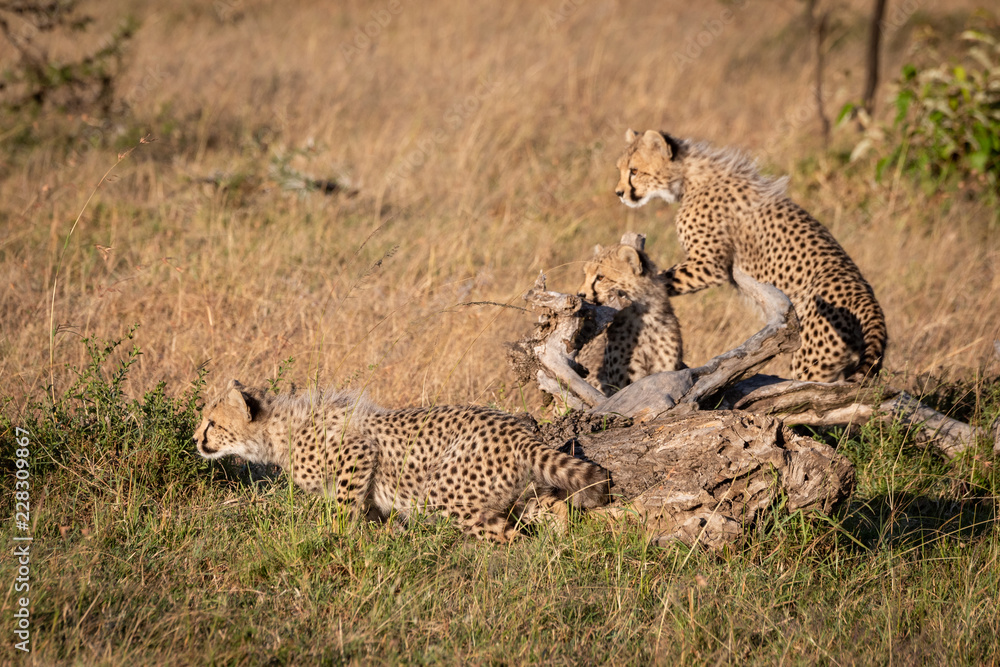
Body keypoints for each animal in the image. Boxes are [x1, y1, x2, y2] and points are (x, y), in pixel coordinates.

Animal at [193, 379, 611, 542]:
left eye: (212, 423)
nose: (195, 439)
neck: (277, 431)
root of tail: (514, 428)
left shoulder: (358, 452)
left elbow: (343, 508)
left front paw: (337, 537)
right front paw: (383, 537)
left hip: (446, 493)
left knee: (508, 537)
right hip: (516, 489)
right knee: (553, 507)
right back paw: (558, 545)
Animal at [576, 236, 685, 394]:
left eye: (600, 278)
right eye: (585, 275)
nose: (580, 294)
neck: (643, 316)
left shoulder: (664, 370)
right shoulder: (626, 379)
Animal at [614, 128, 887, 382]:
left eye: (634, 171)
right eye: (621, 169)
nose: (619, 193)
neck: (689, 178)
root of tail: (868, 300)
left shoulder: (708, 265)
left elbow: (663, 279)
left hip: (811, 361)